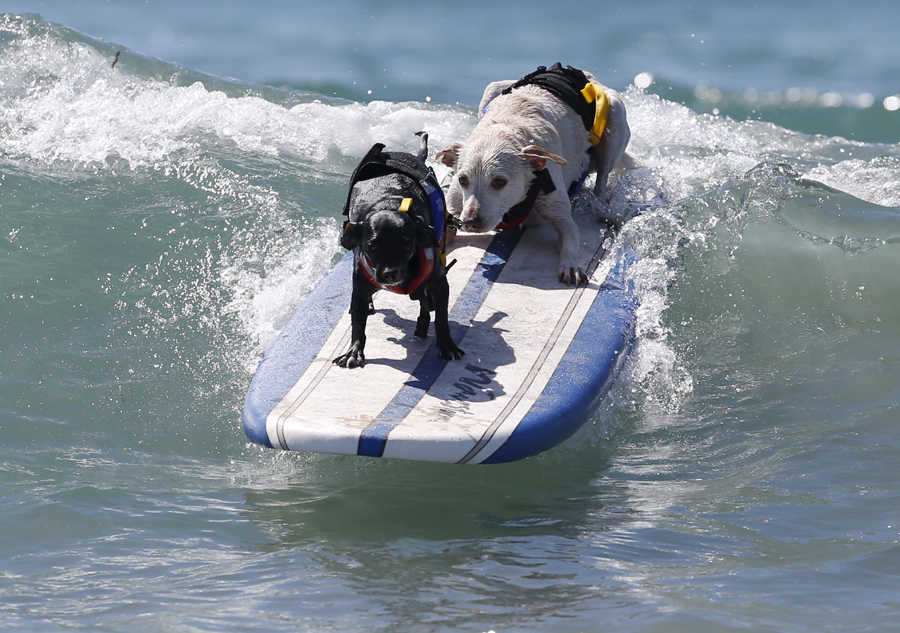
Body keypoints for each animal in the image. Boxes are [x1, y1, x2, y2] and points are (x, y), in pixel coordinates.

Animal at [332, 135, 464, 368]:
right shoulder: (360, 287)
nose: (389, 274)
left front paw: (448, 346)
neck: (389, 204)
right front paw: (354, 351)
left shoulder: (439, 282)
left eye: (406, 245)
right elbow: (358, 323)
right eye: (372, 246)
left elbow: (441, 318)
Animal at [438, 63, 632, 284]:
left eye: (499, 181)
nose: (470, 222)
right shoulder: (455, 208)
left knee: (601, 180)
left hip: (615, 116)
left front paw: (570, 265)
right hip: (492, 88)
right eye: (462, 179)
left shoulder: (560, 213)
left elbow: (571, 234)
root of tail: (585, 75)